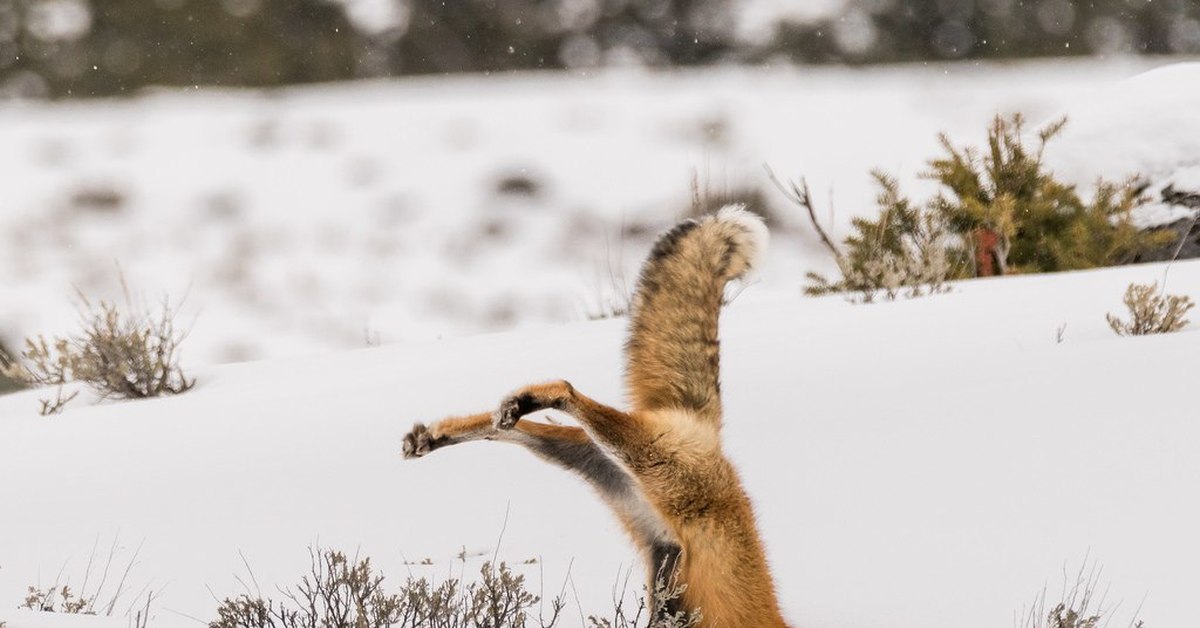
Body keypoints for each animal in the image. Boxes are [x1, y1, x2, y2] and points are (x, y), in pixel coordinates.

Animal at [408, 207, 792, 628]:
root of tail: (709, 436)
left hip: (608, 480)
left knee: (515, 432)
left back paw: (437, 434)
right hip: (643, 457)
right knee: (567, 390)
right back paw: (530, 398)